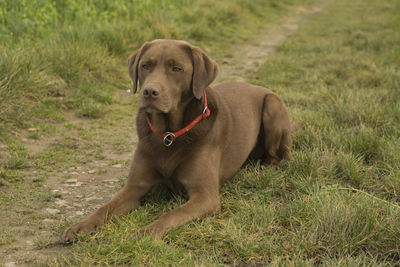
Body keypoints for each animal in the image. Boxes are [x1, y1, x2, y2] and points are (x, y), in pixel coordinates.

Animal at [63, 39, 294, 243]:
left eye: (177, 69)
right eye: (145, 66)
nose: (149, 91)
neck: (169, 134)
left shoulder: (205, 195)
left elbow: (171, 214)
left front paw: (145, 233)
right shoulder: (134, 186)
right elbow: (106, 207)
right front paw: (81, 225)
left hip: (273, 106)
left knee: (280, 155)